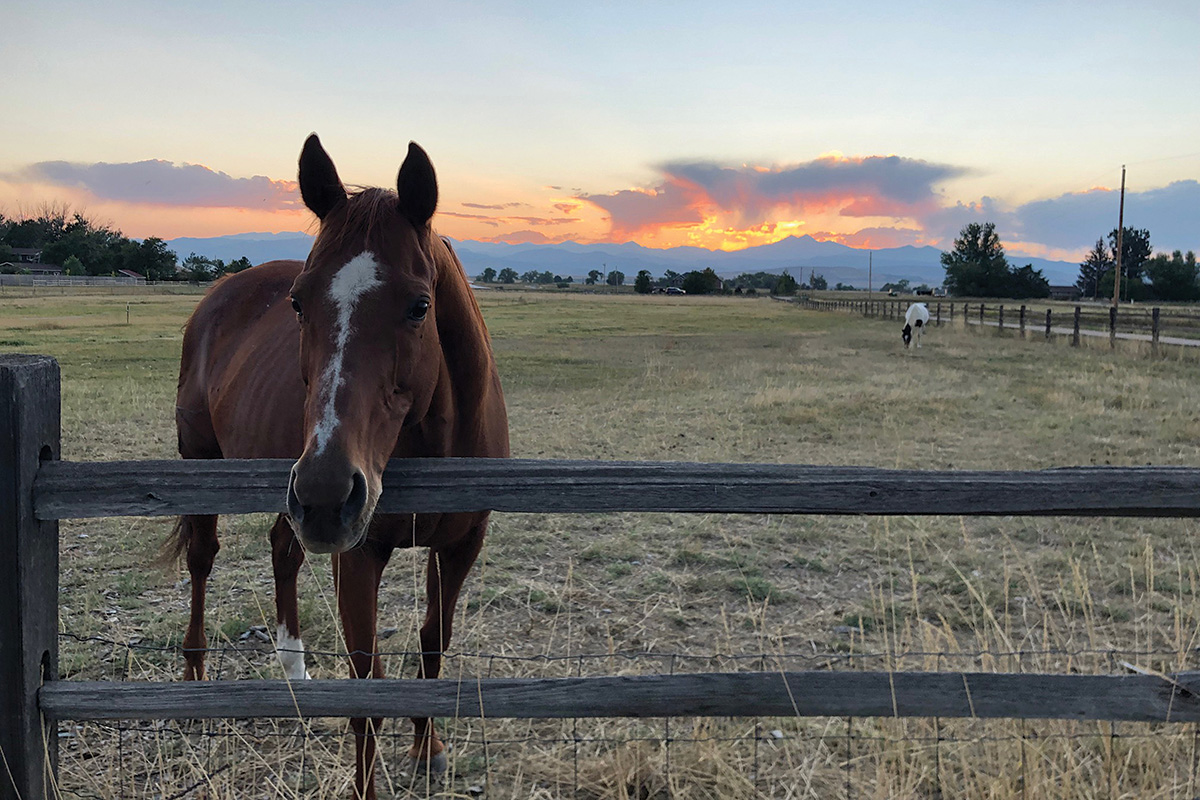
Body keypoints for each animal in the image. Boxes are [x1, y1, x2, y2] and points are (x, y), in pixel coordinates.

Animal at [171, 134, 508, 796]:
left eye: (419, 305)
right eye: (299, 303)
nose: (329, 493)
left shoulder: (460, 545)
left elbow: (433, 644)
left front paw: (428, 748)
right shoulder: (359, 553)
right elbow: (367, 683)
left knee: (284, 549)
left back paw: (295, 672)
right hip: (209, 464)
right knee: (202, 558)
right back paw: (196, 682)